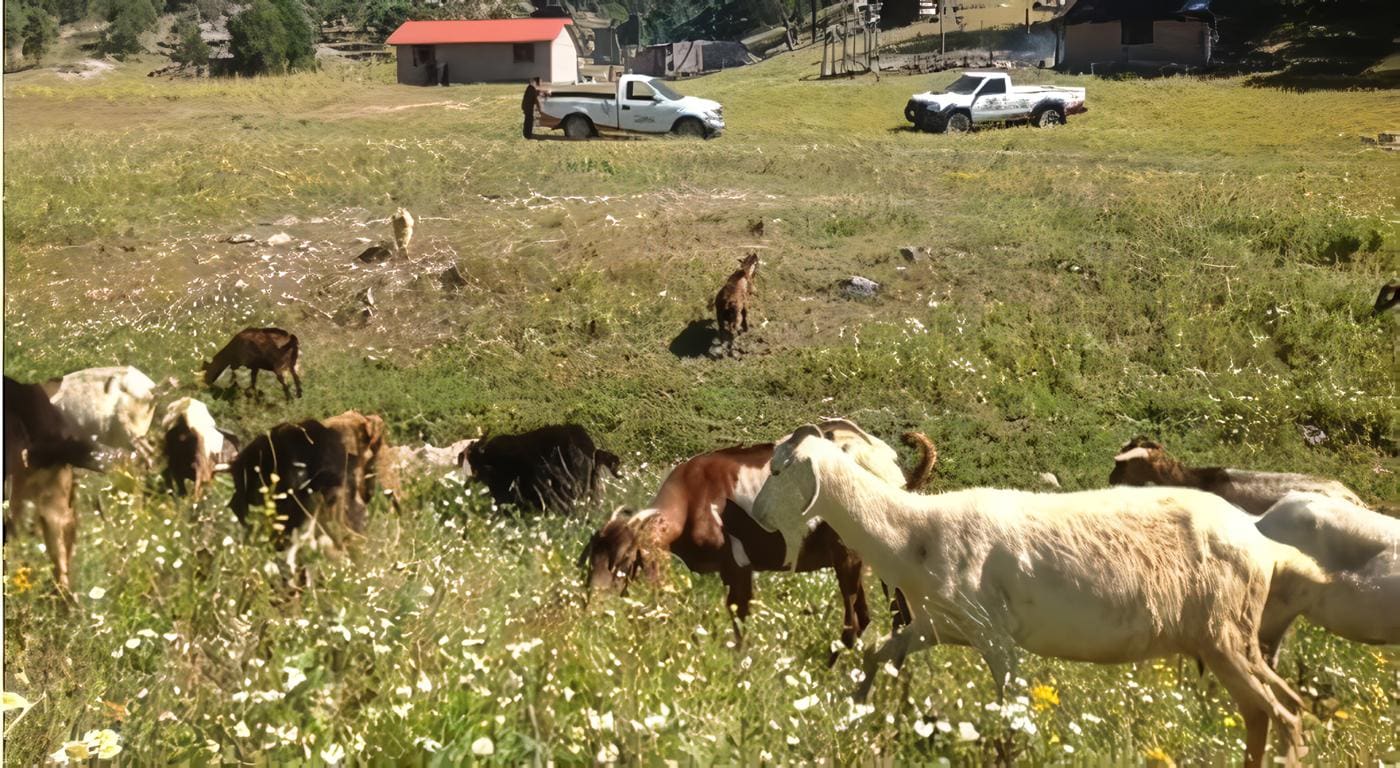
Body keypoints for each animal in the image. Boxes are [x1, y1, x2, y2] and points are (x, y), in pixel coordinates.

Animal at [579, 419, 940, 657]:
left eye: (624, 561)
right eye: (591, 560)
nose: (591, 609)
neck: (693, 498)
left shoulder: (736, 566)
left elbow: (739, 618)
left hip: (847, 553)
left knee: (857, 621)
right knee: (897, 617)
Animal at [750, 425, 1327, 766]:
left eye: (778, 469)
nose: (755, 516)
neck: (916, 533)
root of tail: (1262, 541)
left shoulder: (994, 636)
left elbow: (1012, 707)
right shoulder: (938, 625)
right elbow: (878, 656)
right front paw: (854, 713)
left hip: (1225, 634)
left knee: (1283, 714)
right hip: (1232, 639)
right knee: (1270, 710)